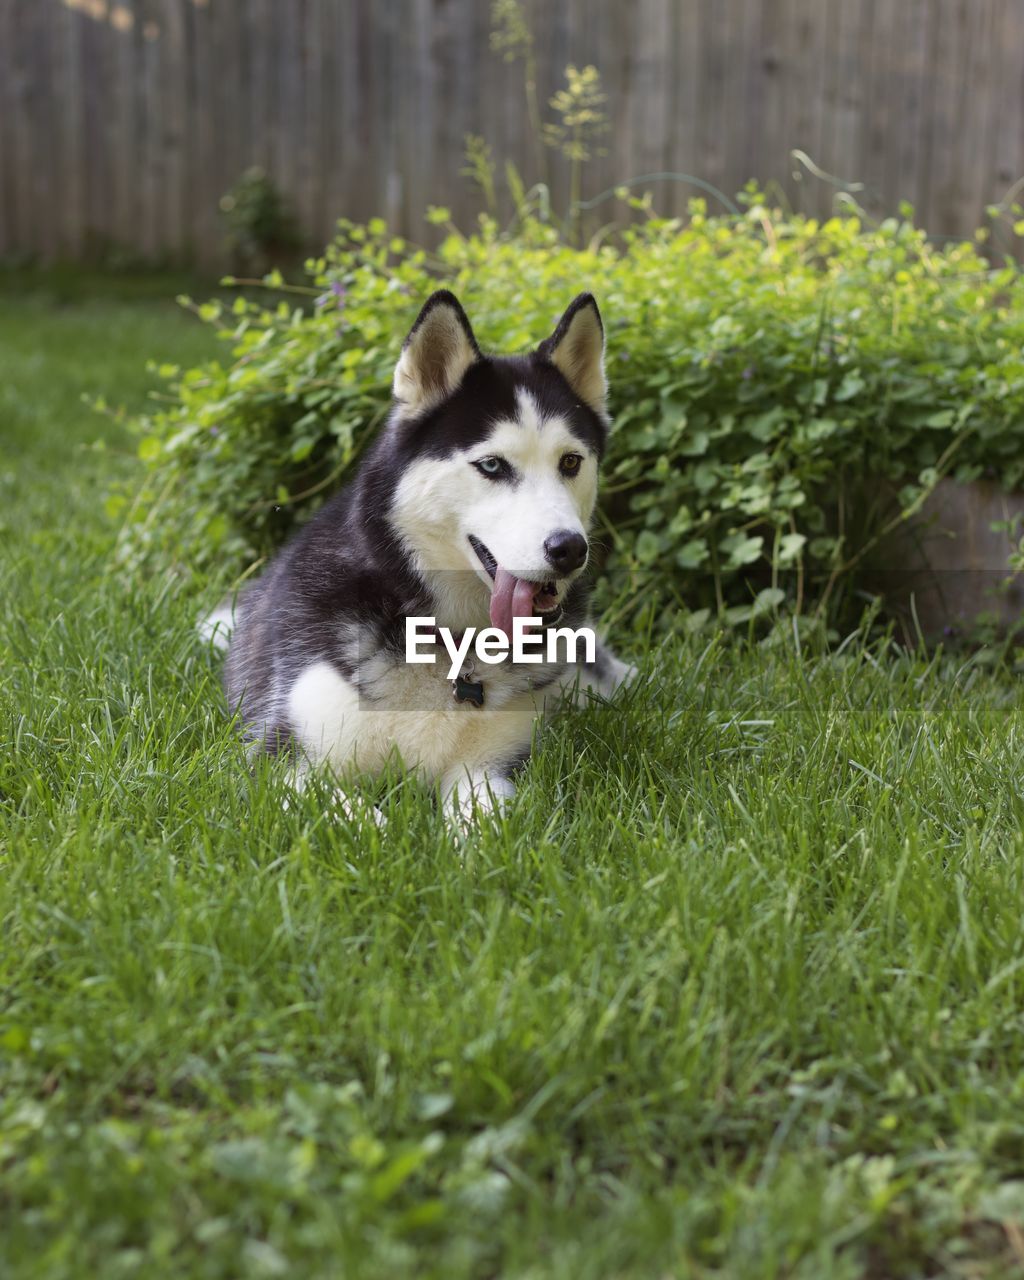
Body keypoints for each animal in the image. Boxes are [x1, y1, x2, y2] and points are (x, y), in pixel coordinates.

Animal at [212, 290, 634, 819]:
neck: (447, 642)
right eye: (491, 465)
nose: (569, 549)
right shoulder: (282, 762)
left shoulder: (491, 767)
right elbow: (363, 820)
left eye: (571, 462)